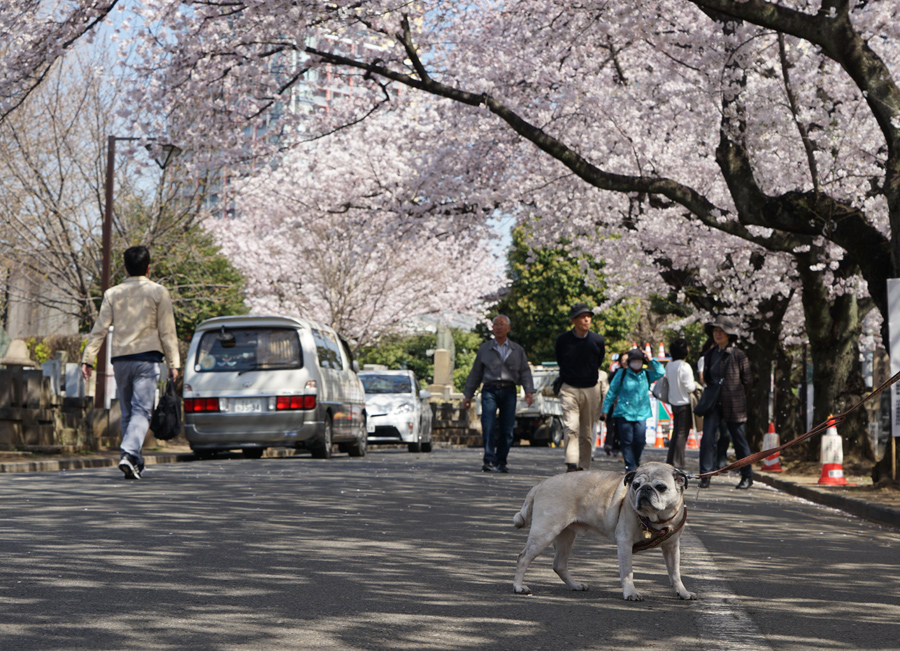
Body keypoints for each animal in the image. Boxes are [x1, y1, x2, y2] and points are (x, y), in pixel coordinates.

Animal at [512, 460, 696, 604]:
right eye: (636, 485)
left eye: (661, 487)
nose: (644, 489)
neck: (656, 519)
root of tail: (541, 484)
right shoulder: (625, 543)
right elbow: (627, 572)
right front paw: (631, 593)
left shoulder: (672, 547)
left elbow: (675, 573)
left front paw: (682, 592)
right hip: (545, 533)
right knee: (523, 558)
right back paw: (519, 587)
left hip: (565, 536)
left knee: (559, 565)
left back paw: (575, 585)